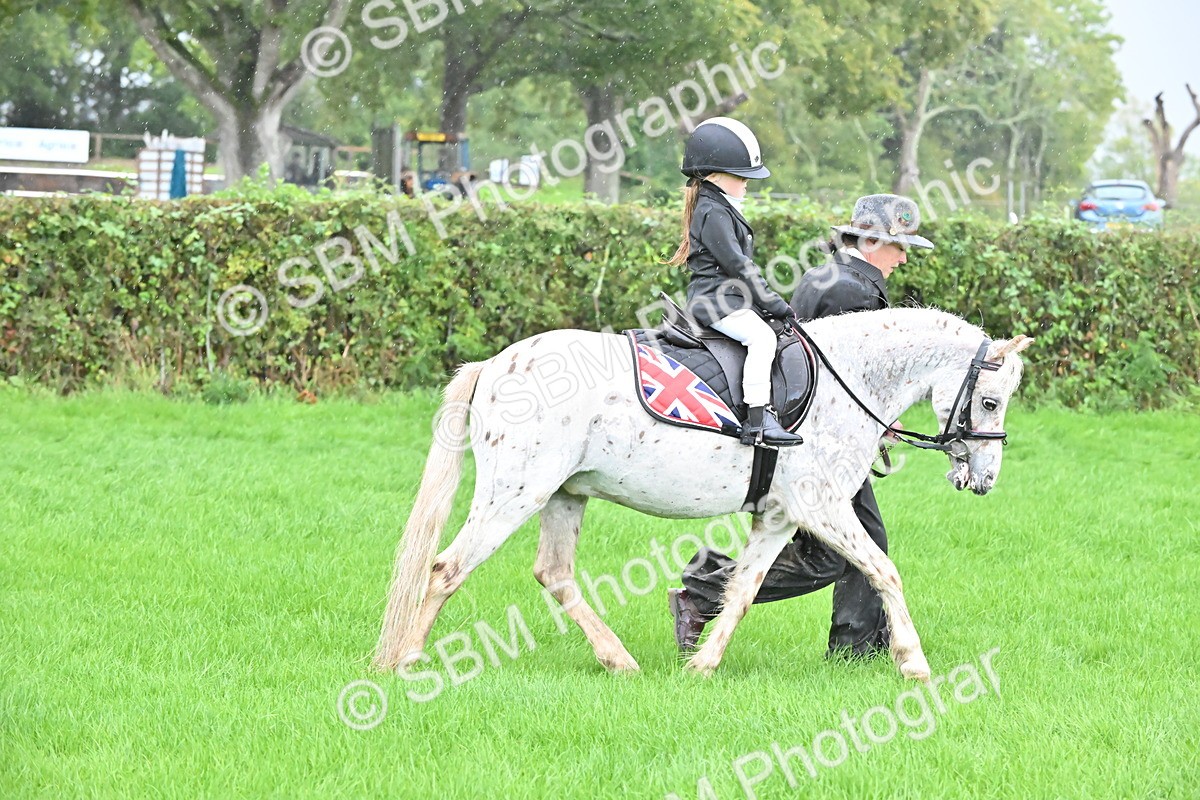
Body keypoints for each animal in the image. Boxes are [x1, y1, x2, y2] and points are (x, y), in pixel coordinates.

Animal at [372, 307, 1033, 681]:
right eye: (989, 402)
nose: (985, 480)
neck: (848, 379)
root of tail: (495, 364)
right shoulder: (821, 508)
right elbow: (884, 571)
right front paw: (914, 663)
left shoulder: (779, 517)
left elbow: (742, 590)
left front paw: (702, 666)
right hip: (516, 493)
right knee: (446, 568)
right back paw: (407, 660)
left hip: (563, 495)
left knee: (554, 574)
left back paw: (619, 661)